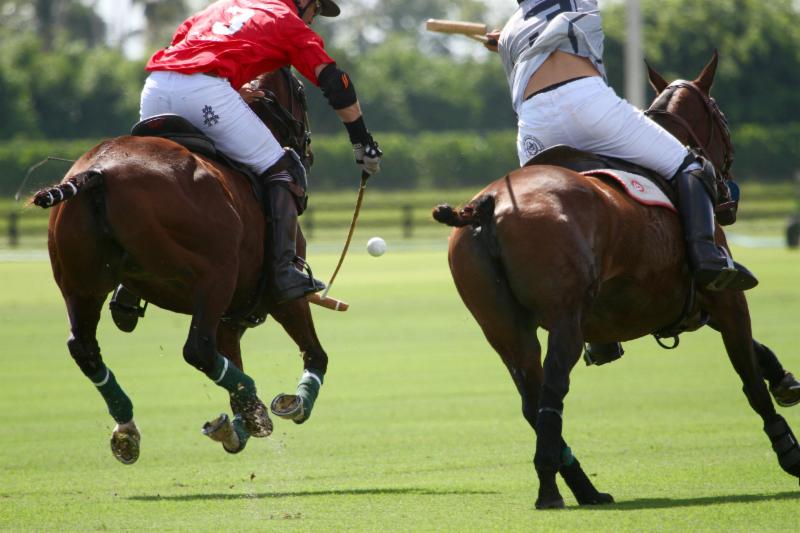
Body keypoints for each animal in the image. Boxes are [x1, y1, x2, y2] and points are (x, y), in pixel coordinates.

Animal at [32, 68, 328, 464]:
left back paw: (127, 429)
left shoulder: (232, 315)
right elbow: (316, 353)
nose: (308, 151)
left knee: (84, 348)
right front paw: (294, 404)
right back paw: (252, 404)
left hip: (80, 284)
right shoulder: (279, 298)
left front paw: (242, 422)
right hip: (215, 275)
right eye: (301, 93)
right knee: (197, 349)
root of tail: (95, 173)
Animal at [432, 53, 800, 508]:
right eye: (723, 117)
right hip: (565, 321)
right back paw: (550, 489)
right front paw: (790, 453)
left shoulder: (694, 306)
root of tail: (488, 203)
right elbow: (750, 379)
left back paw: (583, 487)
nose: (728, 200)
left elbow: (756, 351)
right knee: (551, 392)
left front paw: (786, 380)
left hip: (504, 330)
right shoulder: (724, 299)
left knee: (531, 399)